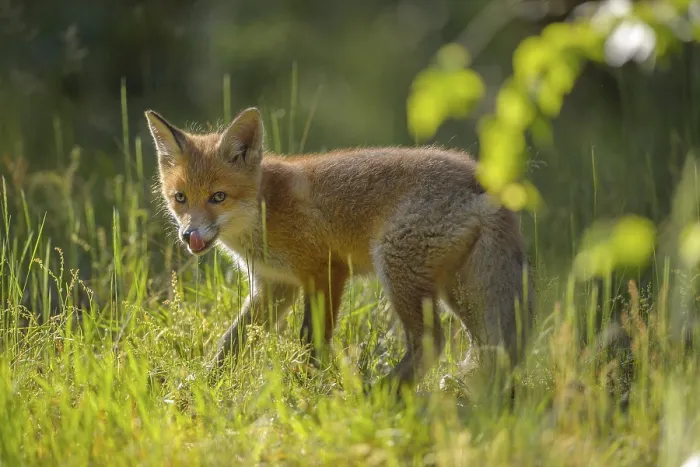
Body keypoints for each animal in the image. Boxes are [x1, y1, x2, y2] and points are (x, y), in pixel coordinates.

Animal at [145, 106, 534, 393]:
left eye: (218, 197)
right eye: (180, 198)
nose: (189, 235)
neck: (267, 209)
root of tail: (484, 178)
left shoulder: (327, 272)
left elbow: (311, 340)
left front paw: (307, 390)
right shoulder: (275, 286)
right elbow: (231, 343)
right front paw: (201, 385)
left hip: (398, 269)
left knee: (431, 341)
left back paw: (380, 394)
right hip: (459, 289)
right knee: (487, 347)